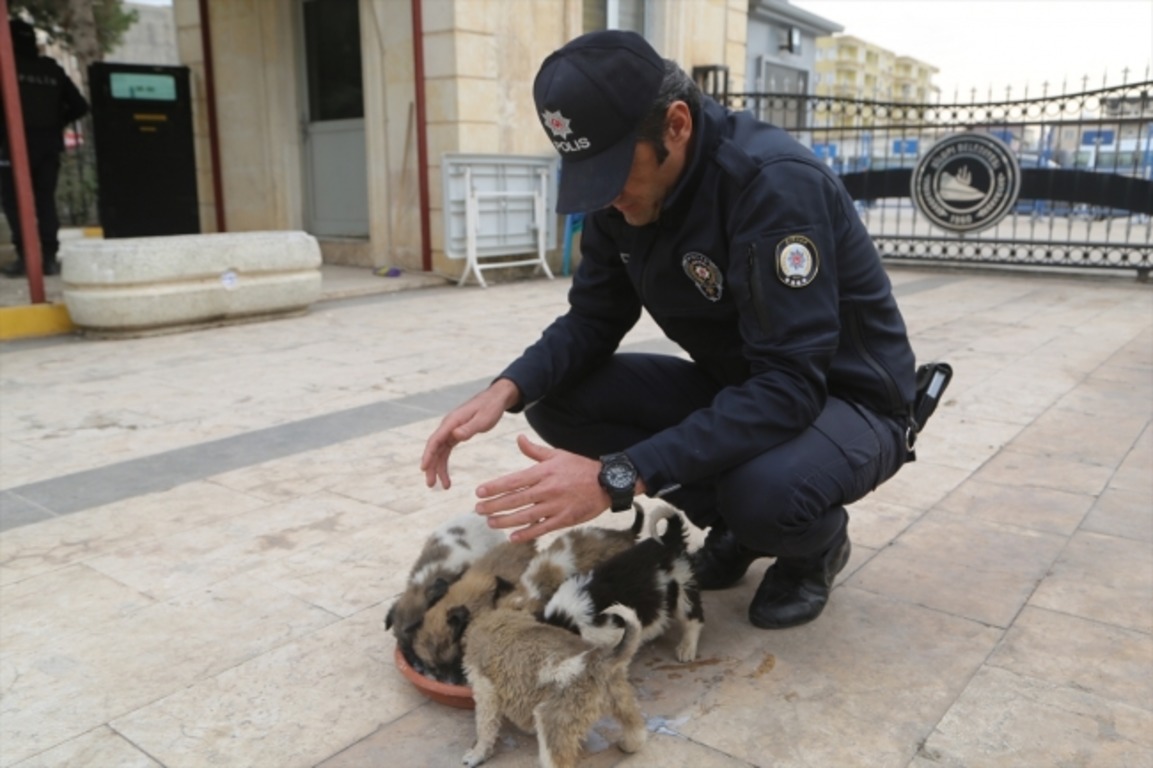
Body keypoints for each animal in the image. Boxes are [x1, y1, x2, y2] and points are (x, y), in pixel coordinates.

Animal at [461, 599, 650, 761]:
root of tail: (598, 660)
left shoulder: (486, 693)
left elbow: (484, 728)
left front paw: (476, 754)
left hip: (552, 721)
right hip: (622, 700)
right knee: (638, 731)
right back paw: (627, 745)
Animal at [541, 505, 701, 659]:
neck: (566, 618)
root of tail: (670, 539)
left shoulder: (613, 631)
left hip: (683, 587)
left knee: (693, 620)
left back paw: (686, 648)